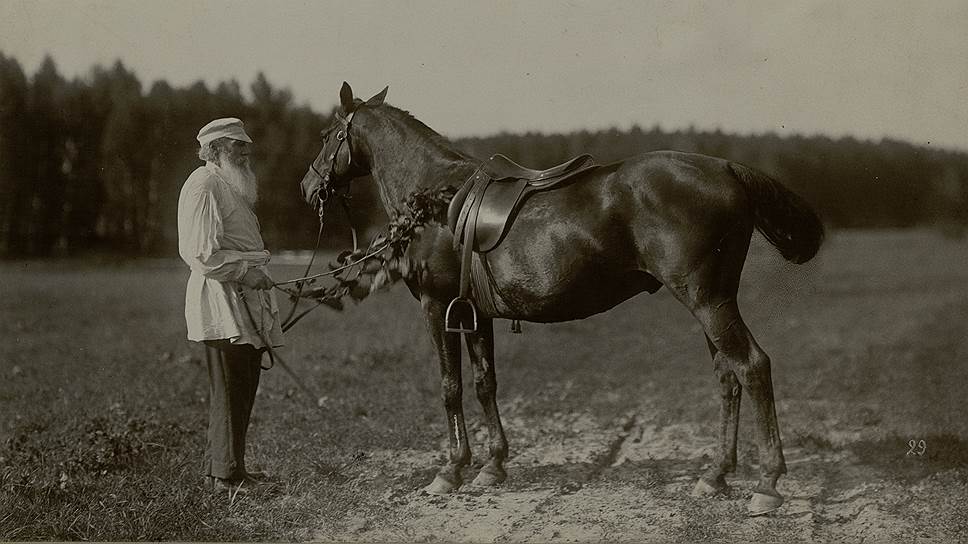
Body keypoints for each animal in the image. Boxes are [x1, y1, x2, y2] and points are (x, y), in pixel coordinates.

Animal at [298, 82, 820, 516]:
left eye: (326, 135)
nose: (307, 186)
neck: (433, 201)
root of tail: (726, 168)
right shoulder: (476, 315)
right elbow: (485, 384)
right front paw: (493, 466)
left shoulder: (436, 307)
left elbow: (450, 388)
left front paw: (450, 471)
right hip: (712, 302)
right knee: (727, 376)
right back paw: (714, 476)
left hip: (707, 302)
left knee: (752, 366)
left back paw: (767, 485)